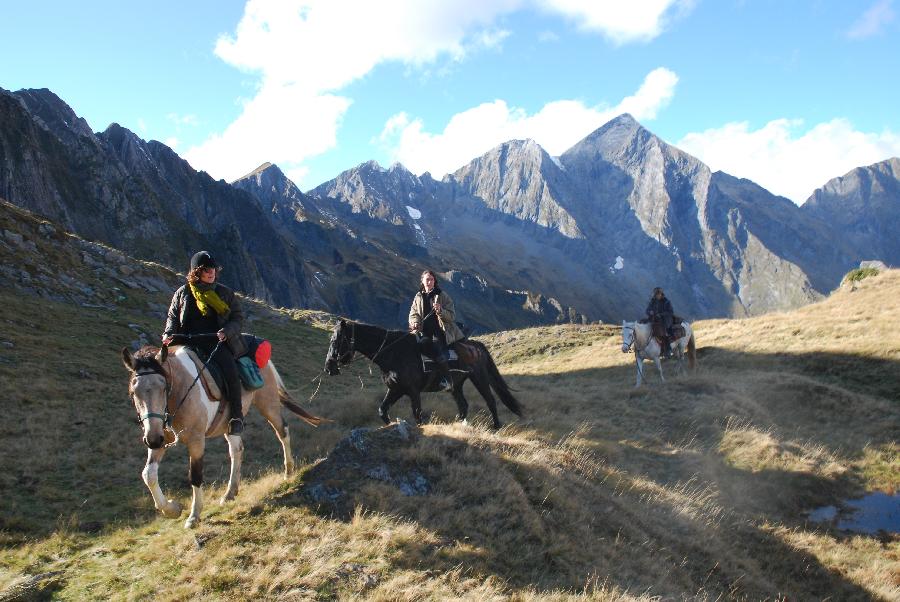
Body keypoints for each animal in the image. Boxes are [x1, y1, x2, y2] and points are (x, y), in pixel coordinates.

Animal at [123, 340, 324, 528]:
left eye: (164, 387)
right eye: (134, 392)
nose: (152, 439)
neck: (181, 393)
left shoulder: (196, 441)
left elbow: (195, 476)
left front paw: (194, 516)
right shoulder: (160, 438)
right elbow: (149, 475)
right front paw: (172, 509)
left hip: (268, 404)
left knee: (283, 432)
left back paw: (288, 471)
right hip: (231, 423)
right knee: (237, 450)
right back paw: (230, 493)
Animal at [324, 318, 524, 426]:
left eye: (337, 340)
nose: (329, 367)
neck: (393, 353)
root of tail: (476, 346)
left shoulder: (413, 391)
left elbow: (417, 414)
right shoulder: (395, 389)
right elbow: (382, 410)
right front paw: (392, 425)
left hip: (479, 378)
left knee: (490, 400)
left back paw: (496, 427)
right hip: (456, 385)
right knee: (463, 405)